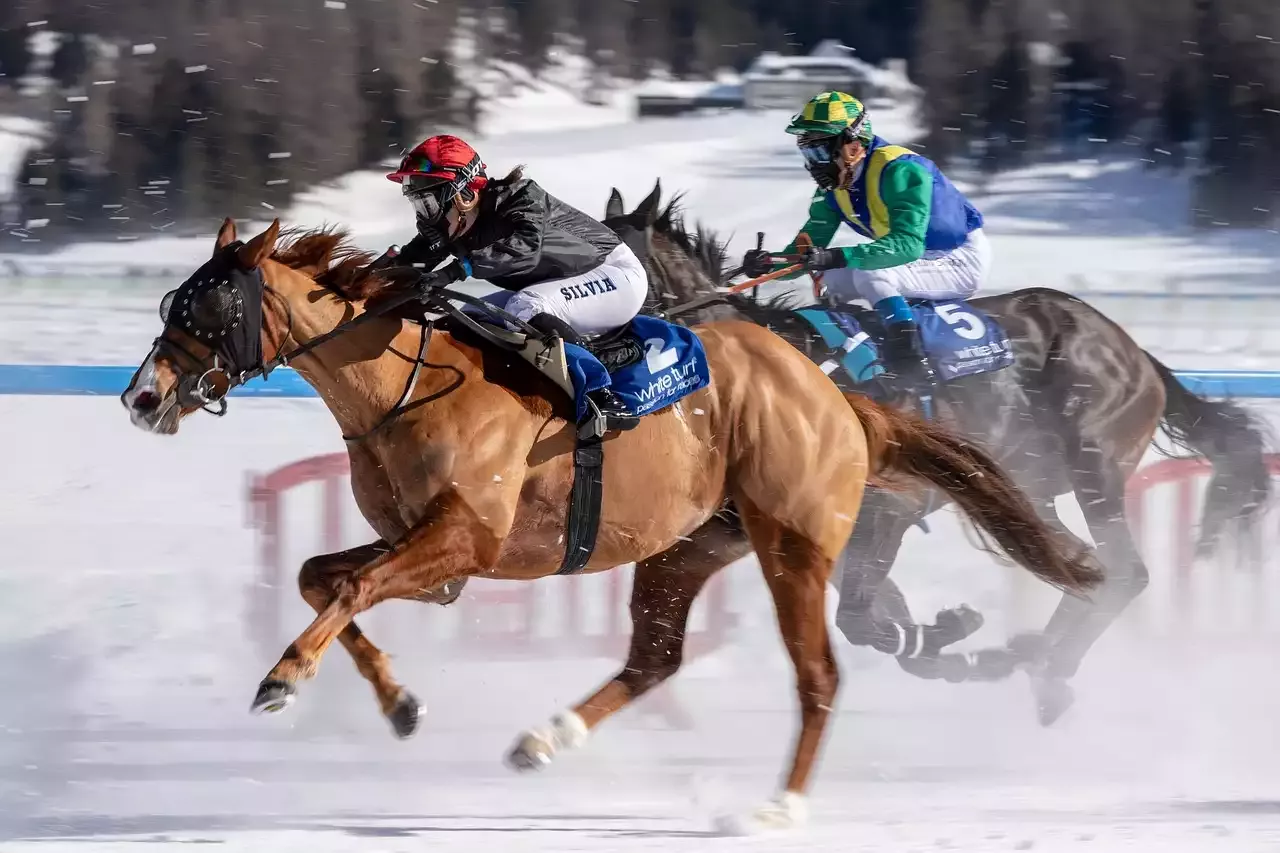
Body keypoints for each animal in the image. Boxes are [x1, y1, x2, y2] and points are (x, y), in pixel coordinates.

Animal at [120, 217, 1100, 831]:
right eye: (174, 302)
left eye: (207, 306)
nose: (141, 397)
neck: (405, 379)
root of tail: (838, 399)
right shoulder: (439, 560)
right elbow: (322, 576)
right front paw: (399, 704)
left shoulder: (466, 538)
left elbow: (350, 582)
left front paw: (283, 677)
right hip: (688, 546)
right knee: (655, 657)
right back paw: (544, 737)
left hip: (793, 543)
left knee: (819, 674)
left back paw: (779, 805)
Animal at [601, 180, 1273, 725]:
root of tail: (1137, 354)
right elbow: (877, 623)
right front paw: (957, 646)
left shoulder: (890, 512)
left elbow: (862, 619)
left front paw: (956, 637)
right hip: (1027, 487)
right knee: (1083, 565)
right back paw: (1034, 662)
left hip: (1095, 460)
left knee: (1125, 572)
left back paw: (1049, 669)